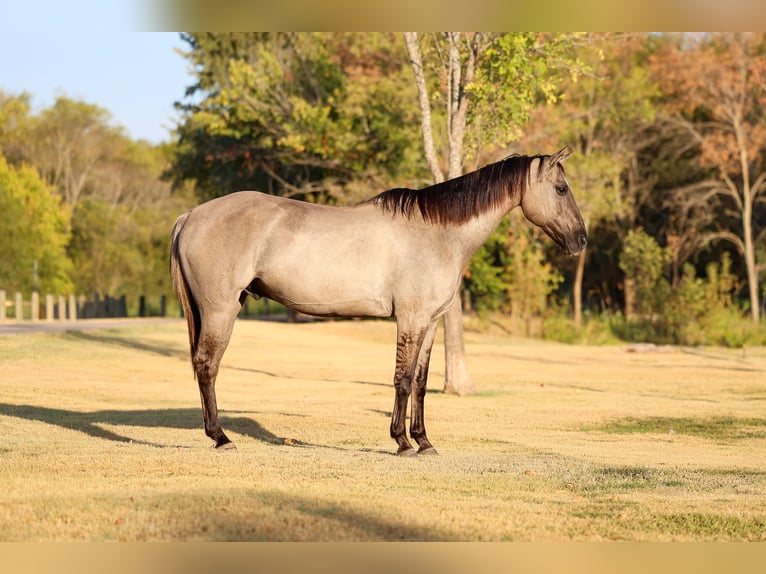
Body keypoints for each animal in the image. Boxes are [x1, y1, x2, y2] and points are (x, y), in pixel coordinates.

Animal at [170, 147, 587, 456]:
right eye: (561, 189)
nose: (581, 240)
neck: (436, 233)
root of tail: (191, 215)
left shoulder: (431, 322)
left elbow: (419, 382)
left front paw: (424, 441)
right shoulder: (411, 319)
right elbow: (402, 378)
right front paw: (402, 442)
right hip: (221, 311)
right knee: (207, 366)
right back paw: (221, 437)